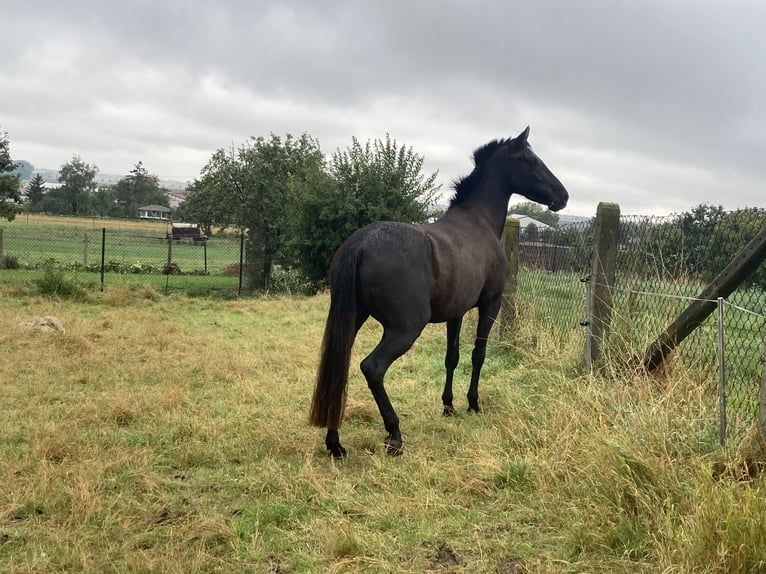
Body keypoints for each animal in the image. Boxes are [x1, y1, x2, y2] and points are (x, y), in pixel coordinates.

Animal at [308, 127, 568, 460]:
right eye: (531, 160)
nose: (563, 196)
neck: (478, 222)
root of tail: (361, 243)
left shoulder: (456, 312)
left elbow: (452, 357)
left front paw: (448, 406)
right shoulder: (490, 304)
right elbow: (478, 354)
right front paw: (473, 403)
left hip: (352, 320)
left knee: (338, 367)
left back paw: (335, 443)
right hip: (405, 329)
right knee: (372, 367)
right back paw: (394, 434)